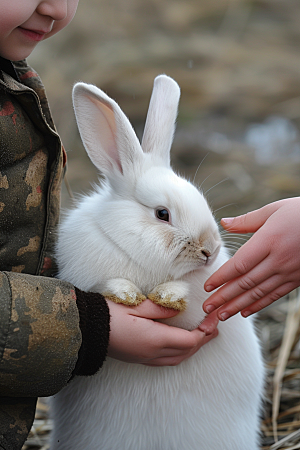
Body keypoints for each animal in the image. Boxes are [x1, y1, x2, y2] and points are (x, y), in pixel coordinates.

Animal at [50, 74, 264, 450]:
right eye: (162, 214)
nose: (210, 250)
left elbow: (185, 299)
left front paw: (167, 296)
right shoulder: (84, 271)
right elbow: (110, 283)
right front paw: (127, 295)